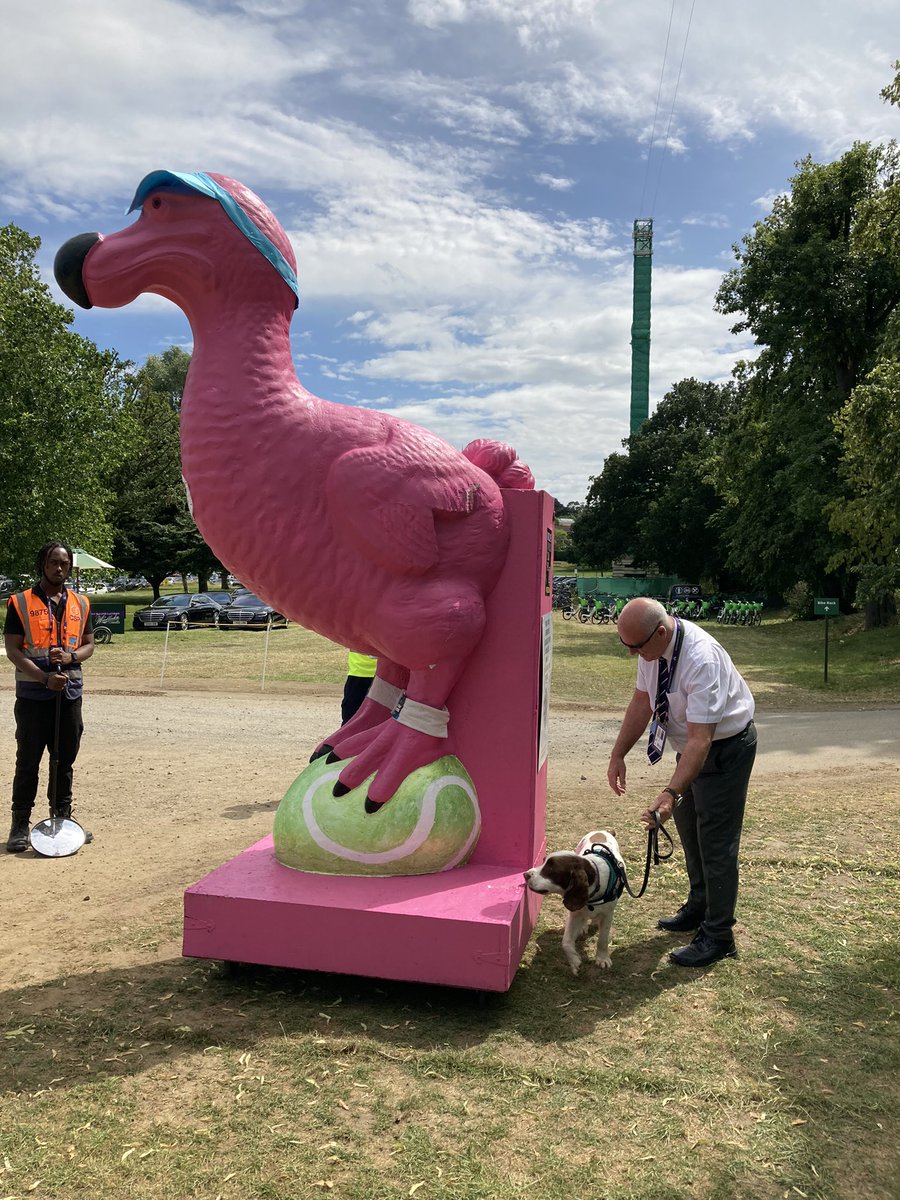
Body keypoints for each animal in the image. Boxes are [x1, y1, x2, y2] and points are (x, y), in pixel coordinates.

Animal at [525, 835, 624, 974]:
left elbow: (603, 940)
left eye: (551, 869)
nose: (525, 874)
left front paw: (602, 958)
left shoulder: (608, 915)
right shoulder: (574, 914)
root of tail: (603, 832)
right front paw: (574, 961)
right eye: (543, 861)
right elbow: (566, 942)